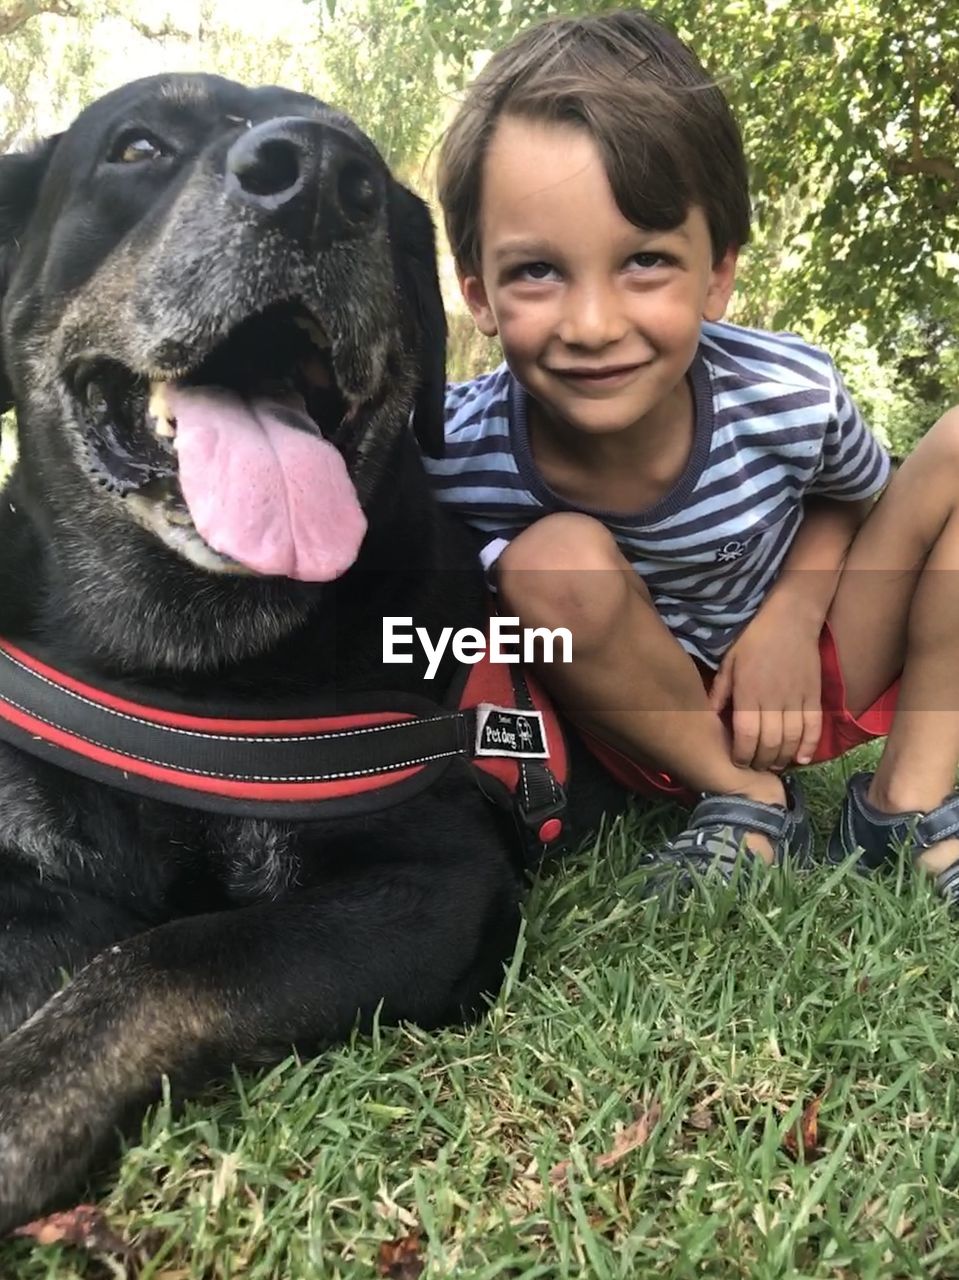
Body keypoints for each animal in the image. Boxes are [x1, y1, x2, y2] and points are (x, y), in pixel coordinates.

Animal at [0, 77, 622, 1228]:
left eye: (368, 173)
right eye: (137, 146)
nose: (327, 183)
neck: (180, 664)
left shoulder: (431, 880)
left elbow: (168, 954)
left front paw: (24, 1098)